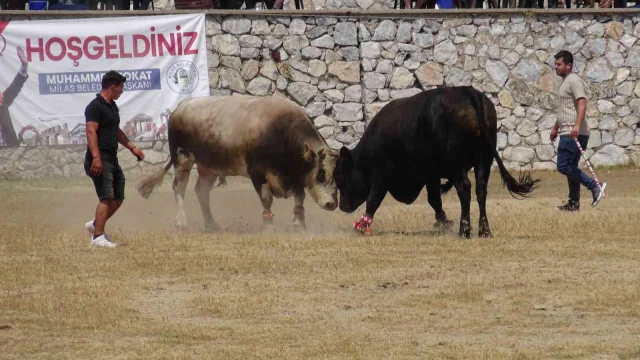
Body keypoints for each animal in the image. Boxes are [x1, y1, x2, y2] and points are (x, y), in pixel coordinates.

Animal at [137, 94, 340, 232]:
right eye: (320, 175)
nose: (332, 204)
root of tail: (182, 106)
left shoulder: (296, 176)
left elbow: (299, 198)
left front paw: (298, 224)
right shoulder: (257, 173)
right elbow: (266, 199)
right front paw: (268, 226)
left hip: (208, 167)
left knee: (201, 191)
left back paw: (211, 224)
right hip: (182, 158)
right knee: (179, 187)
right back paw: (181, 222)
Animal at [336, 86, 540, 239]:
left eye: (342, 176)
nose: (342, 207)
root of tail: (467, 91)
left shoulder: (381, 176)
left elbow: (373, 200)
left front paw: (360, 226)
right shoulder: (431, 176)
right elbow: (434, 199)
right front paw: (444, 222)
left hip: (457, 165)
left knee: (464, 188)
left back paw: (464, 229)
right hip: (484, 161)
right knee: (481, 190)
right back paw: (484, 230)